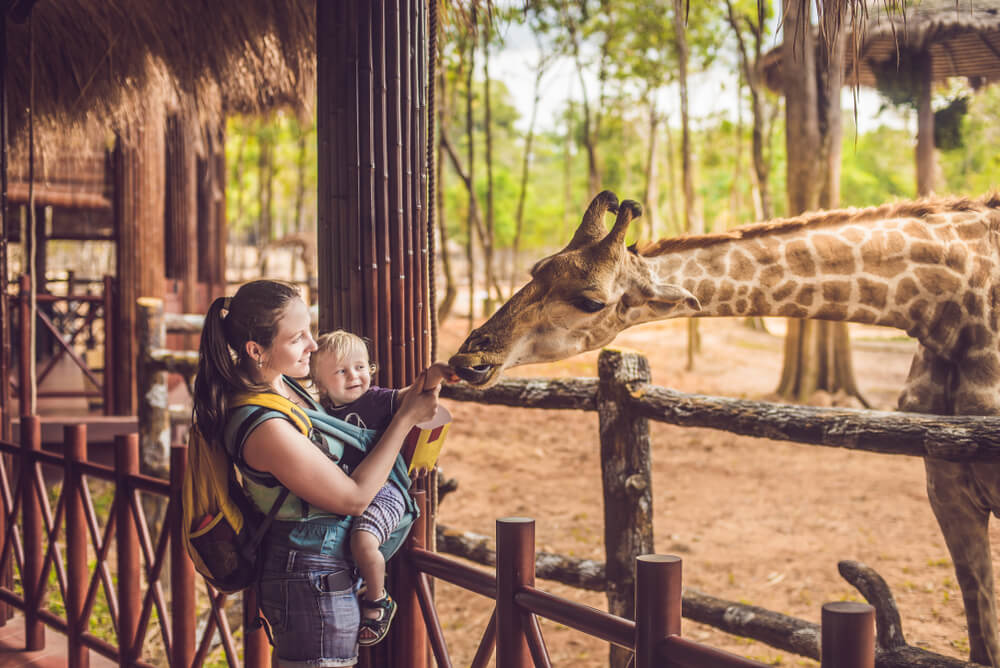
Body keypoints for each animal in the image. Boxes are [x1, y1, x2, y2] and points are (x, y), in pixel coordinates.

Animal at [450, 189, 1000, 668]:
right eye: (536, 270)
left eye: (590, 301)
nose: (468, 359)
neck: (947, 307)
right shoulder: (945, 486)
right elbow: (981, 638)